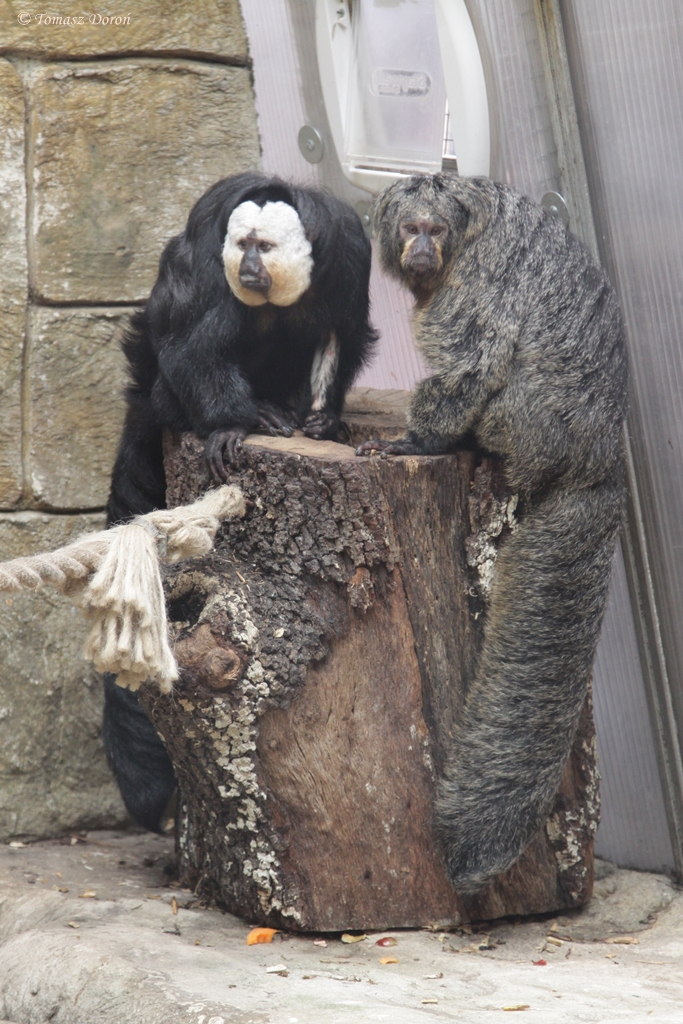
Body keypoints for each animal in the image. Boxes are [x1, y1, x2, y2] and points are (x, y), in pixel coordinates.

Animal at [103, 172, 377, 831]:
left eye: (264, 246)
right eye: (243, 244)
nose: (249, 266)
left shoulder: (347, 259)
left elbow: (338, 332)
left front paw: (323, 421)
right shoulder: (208, 267)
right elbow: (193, 341)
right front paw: (234, 422)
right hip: (161, 396)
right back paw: (256, 414)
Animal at [357, 173, 628, 895]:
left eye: (435, 230)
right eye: (410, 229)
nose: (422, 248)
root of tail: (599, 464)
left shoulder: (477, 279)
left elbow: (472, 366)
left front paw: (416, 441)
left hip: (531, 424)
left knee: (498, 388)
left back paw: (473, 444)